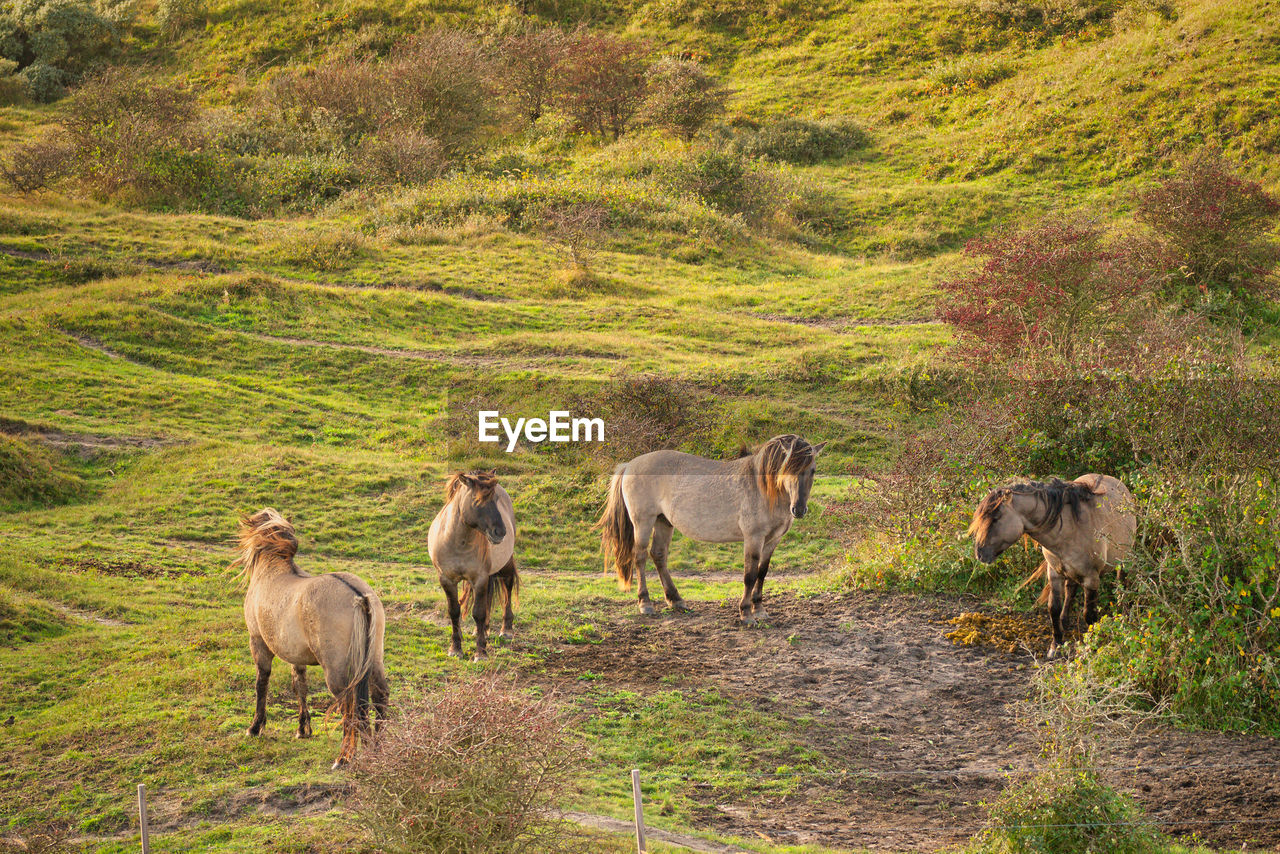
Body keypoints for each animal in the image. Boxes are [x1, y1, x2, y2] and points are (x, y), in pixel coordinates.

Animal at [232, 504, 386, 773]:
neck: (272, 572)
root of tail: (360, 597)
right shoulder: (297, 655)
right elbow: (299, 686)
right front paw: (303, 728)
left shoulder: (258, 643)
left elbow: (261, 683)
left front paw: (255, 727)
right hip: (374, 660)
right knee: (380, 698)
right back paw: (380, 747)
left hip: (336, 672)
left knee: (349, 707)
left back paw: (343, 758)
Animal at [422, 473, 517, 660]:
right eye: (477, 500)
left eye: (495, 499)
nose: (500, 532)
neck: (457, 542)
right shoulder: (447, 580)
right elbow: (454, 611)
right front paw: (455, 648)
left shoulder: (479, 579)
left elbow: (478, 613)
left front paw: (480, 652)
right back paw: (483, 631)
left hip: (505, 564)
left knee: (508, 588)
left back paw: (506, 630)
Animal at [596, 437, 824, 624]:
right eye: (788, 468)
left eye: (812, 470)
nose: (799, 509)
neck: (763, 487)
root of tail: (629, 464)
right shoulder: (753, 538)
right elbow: (749, 575)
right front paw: (746, 613)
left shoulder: (772, 540)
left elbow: (762, 573)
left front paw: (759, 609)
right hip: (643, 521)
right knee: (640, 557)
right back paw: (645, 603)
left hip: (664, 522)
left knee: (659, 555)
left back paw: (676, 600)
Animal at [962, 473, 1136, 660]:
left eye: (995, 519)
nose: (980, 553)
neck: (1070, 529)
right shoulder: (1054, 573)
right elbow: (1054, 608)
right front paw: (1056, 644)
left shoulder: (1091, 578)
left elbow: (1089, 615)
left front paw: (1093, 645)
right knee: (1071, 590)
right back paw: (1065, 622)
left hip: (1124, 560)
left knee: (1122, 585)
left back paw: (1125, 615)